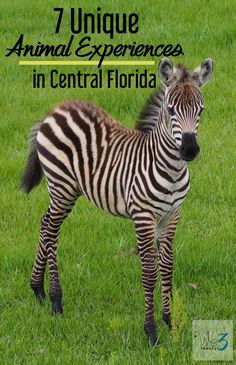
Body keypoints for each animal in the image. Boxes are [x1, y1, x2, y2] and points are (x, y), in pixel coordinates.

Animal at [21, 57, 214, 344]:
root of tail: (56, 110)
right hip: (61, 185)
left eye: (200, 110)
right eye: (171, 110)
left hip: (67, 189)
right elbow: (149, 272)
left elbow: (167, 267)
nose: (189, 150)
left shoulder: (171, 216)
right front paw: (151, 331)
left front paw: (170, 322)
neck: (170, 168)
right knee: (52, 230)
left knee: (45, 223)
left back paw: (38, 289)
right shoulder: (143, 217)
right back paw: (56, 301)